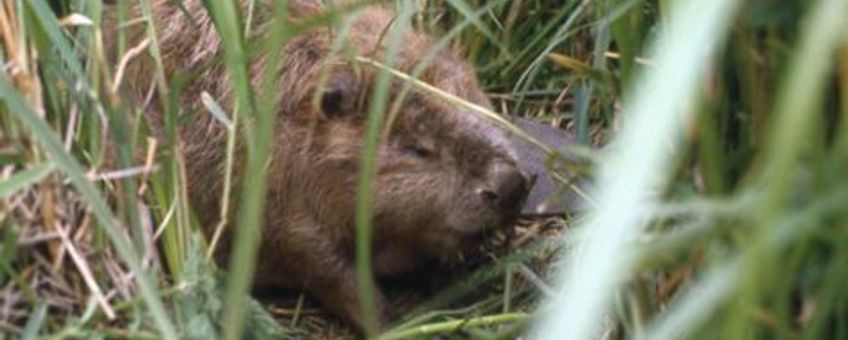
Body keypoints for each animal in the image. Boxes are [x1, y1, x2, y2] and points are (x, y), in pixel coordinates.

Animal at [115, 0, 528, 332]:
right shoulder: (270, 202)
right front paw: (395, 321)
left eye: (477, 100)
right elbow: (326, 267)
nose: (509, 185)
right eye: (418, 149)